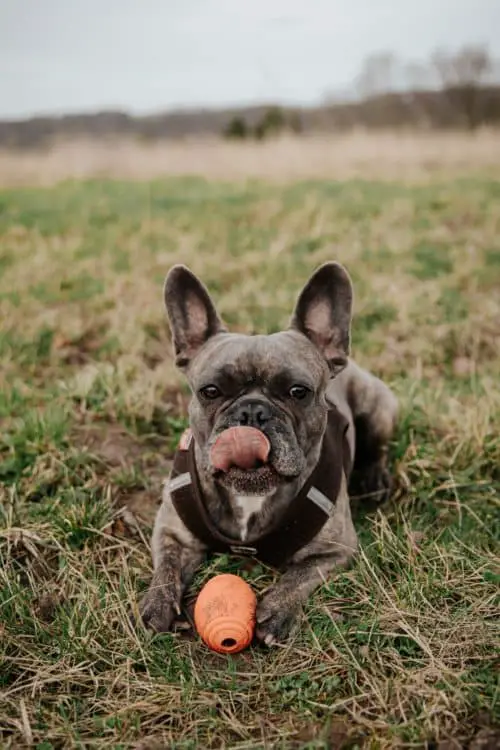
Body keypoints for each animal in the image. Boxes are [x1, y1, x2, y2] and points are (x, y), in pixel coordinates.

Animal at [140, 262, 398, 644]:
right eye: (210, 391)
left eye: (299, 391)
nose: (252, 412)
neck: (251, 495)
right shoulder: (172, 532)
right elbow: (166, 569)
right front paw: (156, 605)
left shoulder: (336, 550)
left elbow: (299, 576)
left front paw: (276, 610)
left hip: (379, 406)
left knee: (377, 446)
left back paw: (375, 478)